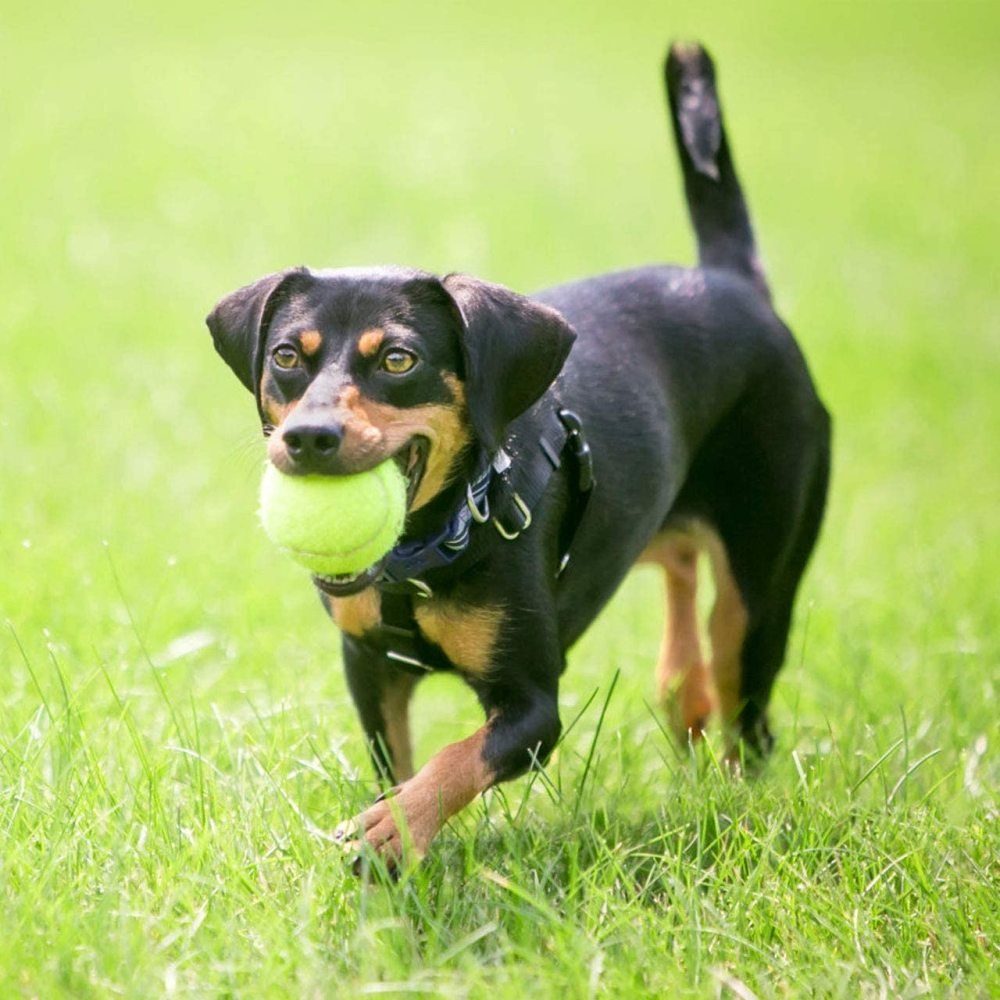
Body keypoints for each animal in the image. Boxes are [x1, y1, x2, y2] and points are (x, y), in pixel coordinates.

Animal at [203, 43, 828, 868]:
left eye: (398, 360)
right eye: (285, 357)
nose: (308, 439)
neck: (425, 550)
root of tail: (731, 281)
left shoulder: (532, 706)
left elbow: (454, 758)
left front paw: (393, 828)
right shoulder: (369, 669)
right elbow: (396, 760)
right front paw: (395, 834)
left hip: (761, 586)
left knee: (746, 714)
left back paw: (734, 794)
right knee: (679, 592)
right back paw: (685, 699)